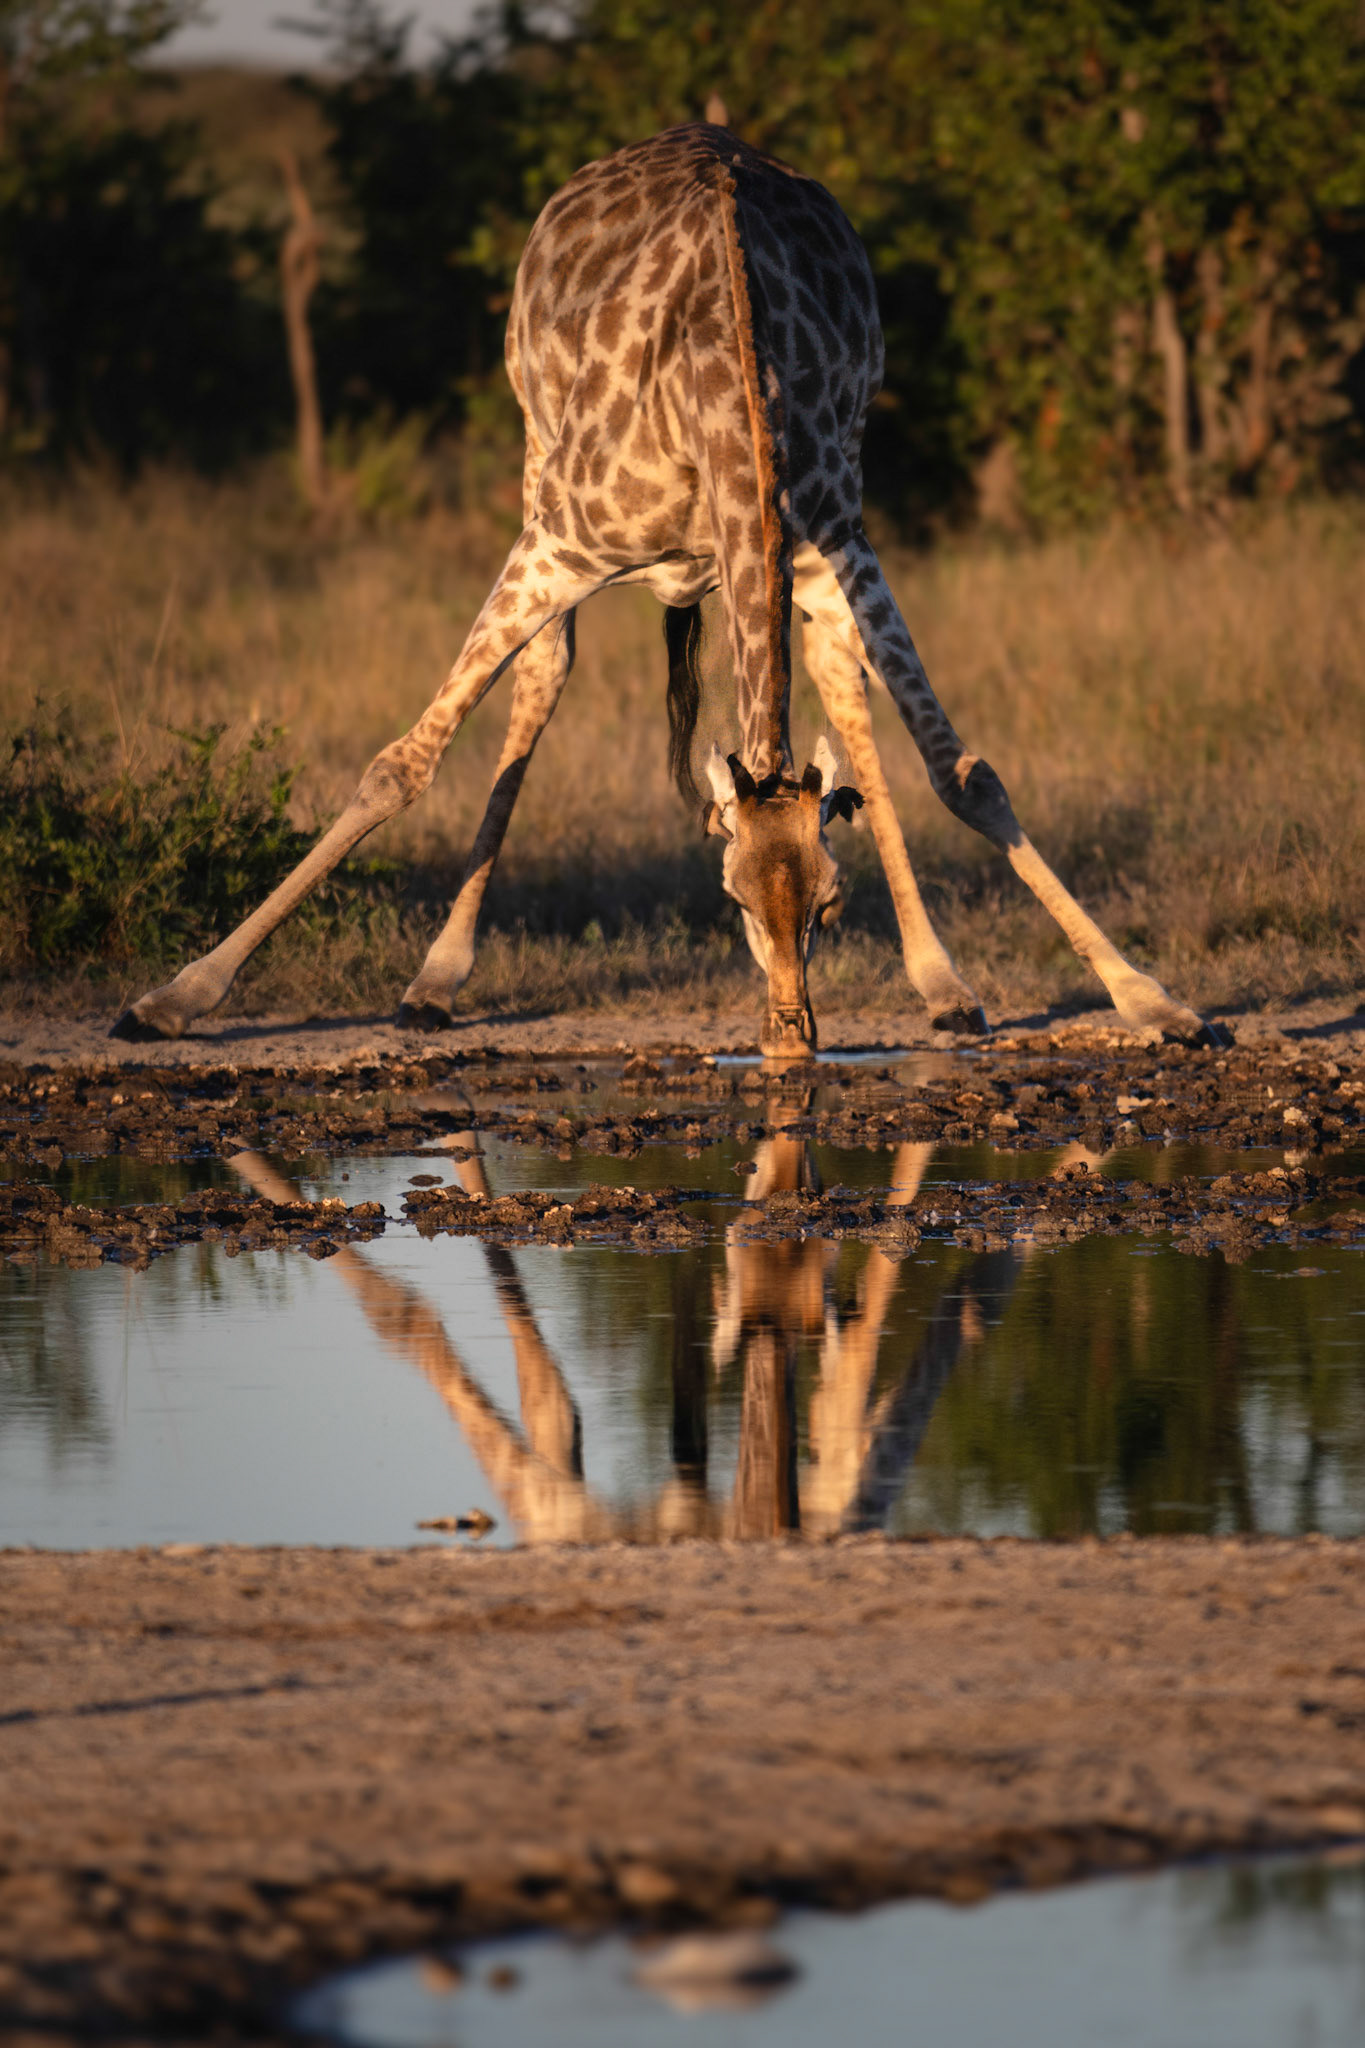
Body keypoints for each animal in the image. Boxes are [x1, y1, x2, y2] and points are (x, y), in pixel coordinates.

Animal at [113, 124, 1220, 1055]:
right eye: (729, 898)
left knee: (838, 689)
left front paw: (1151, 998)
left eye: (830, 900)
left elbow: (962, 773)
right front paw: (175, 995)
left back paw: (944, 986)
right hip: (533, 459)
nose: (791, 1038)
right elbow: (400, 766)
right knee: (542, 676)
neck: (725, 392)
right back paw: (433, 980)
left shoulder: (836, 540)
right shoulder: (560, 541)